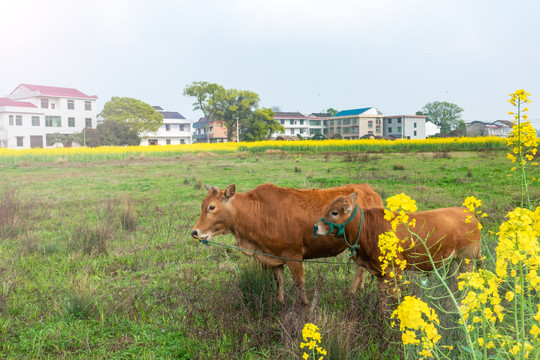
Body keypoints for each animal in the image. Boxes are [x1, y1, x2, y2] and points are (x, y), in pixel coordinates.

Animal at [192, 183, 382, 304]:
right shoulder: (273, 256)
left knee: (359, 268)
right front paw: (280, 302)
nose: (195, 232)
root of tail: (369, 190)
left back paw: (351, 291)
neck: (258, 211)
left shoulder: (294, 255)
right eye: (202, 205)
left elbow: (299, 282)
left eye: (212, 207)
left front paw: (304, 304)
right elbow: (279, 281)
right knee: (361, 268)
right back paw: (360, 288)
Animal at [314, 193, 484, 310]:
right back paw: (451, 306)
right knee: (454, 283)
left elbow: (395, 297)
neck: (369, 229)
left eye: (334, 212)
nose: (316, 227)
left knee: (466, 285)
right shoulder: (379, 272)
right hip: (452, 261)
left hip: (467, 260)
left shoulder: (394, 270)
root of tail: (467, 211)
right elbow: (383, 297)